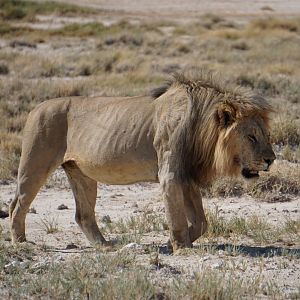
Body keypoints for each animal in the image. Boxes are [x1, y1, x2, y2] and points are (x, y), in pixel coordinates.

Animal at [8, 71, 276, 251]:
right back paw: (21, 243)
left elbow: (201, 222)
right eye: (251, 137)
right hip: (35, 164)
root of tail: (35, 108)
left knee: (83, 215)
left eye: (266, 135)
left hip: (80, 173)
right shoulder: (170, 175)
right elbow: (177, 218)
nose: (271, 160)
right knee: (17, 205)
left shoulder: (186, 175)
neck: (201, 127)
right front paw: (180, 248)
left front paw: (170, 244)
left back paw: (105, 246)